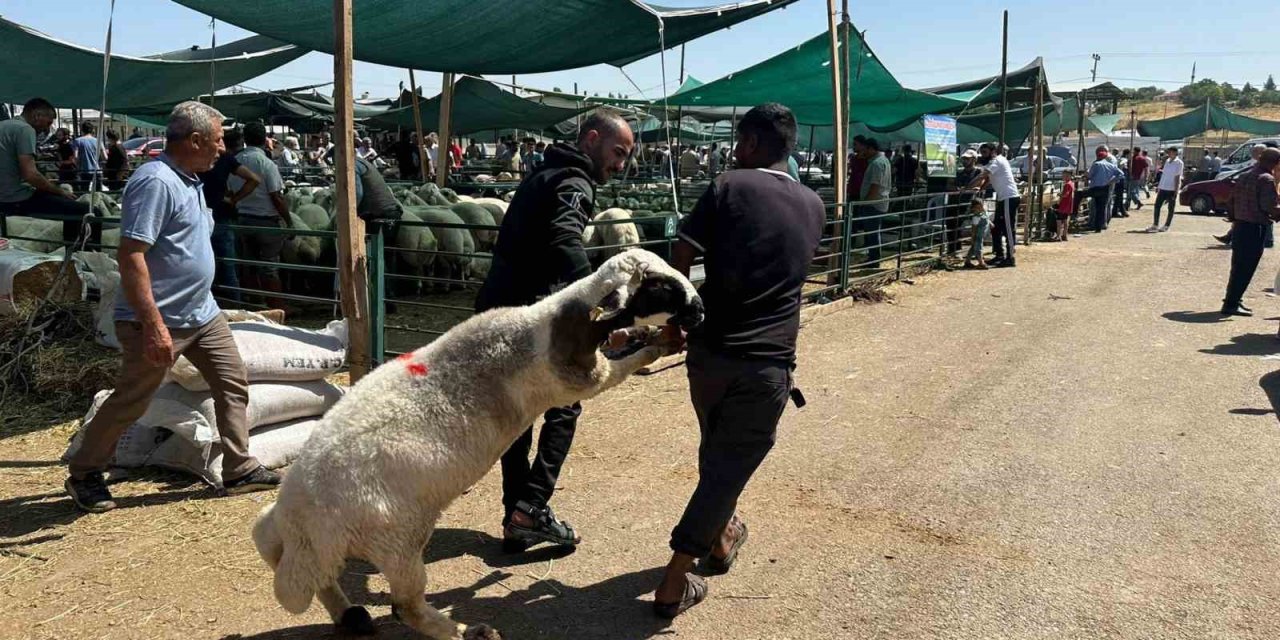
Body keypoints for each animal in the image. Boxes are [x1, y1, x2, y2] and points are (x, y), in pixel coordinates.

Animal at [253, 249, 706, 640]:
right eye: (659, 286)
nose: (700, 310)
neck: (557, 323)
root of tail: (305, 528)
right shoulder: (581, 378)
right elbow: (627, 363)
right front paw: (662, 344)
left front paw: (655, 335)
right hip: (398, 542)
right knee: (406, 606)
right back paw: (467, 632)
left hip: (281, 525)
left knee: (288, 557)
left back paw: (352, 614)